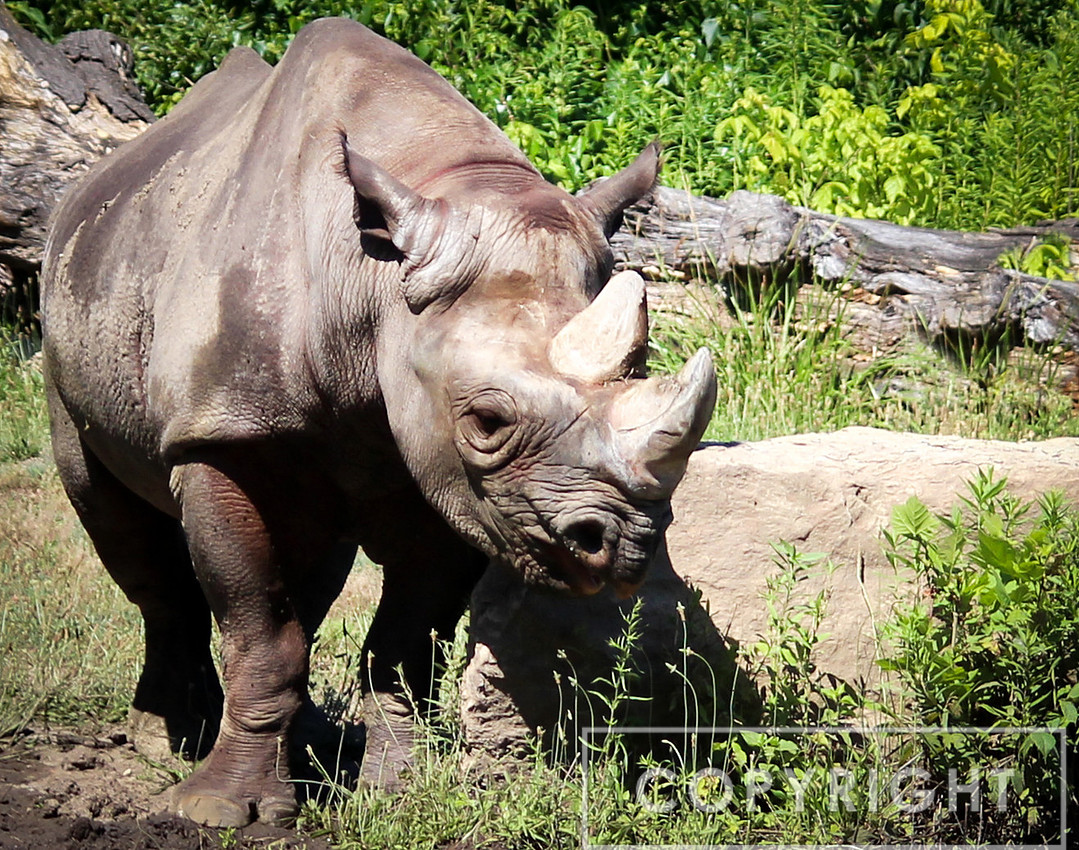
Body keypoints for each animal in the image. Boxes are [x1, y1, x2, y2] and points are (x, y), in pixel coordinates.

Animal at [41, 18, 715, 828]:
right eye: (488, 420)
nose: (623, 546)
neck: (374, 284)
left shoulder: (453, 478)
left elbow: (404, 635)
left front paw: (398, 792)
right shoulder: (222, 433)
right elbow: (257, 626)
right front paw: (220, 812)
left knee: (309, 569)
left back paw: (308, 742)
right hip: (68, 312)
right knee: (117, 521)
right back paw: (169, 738)